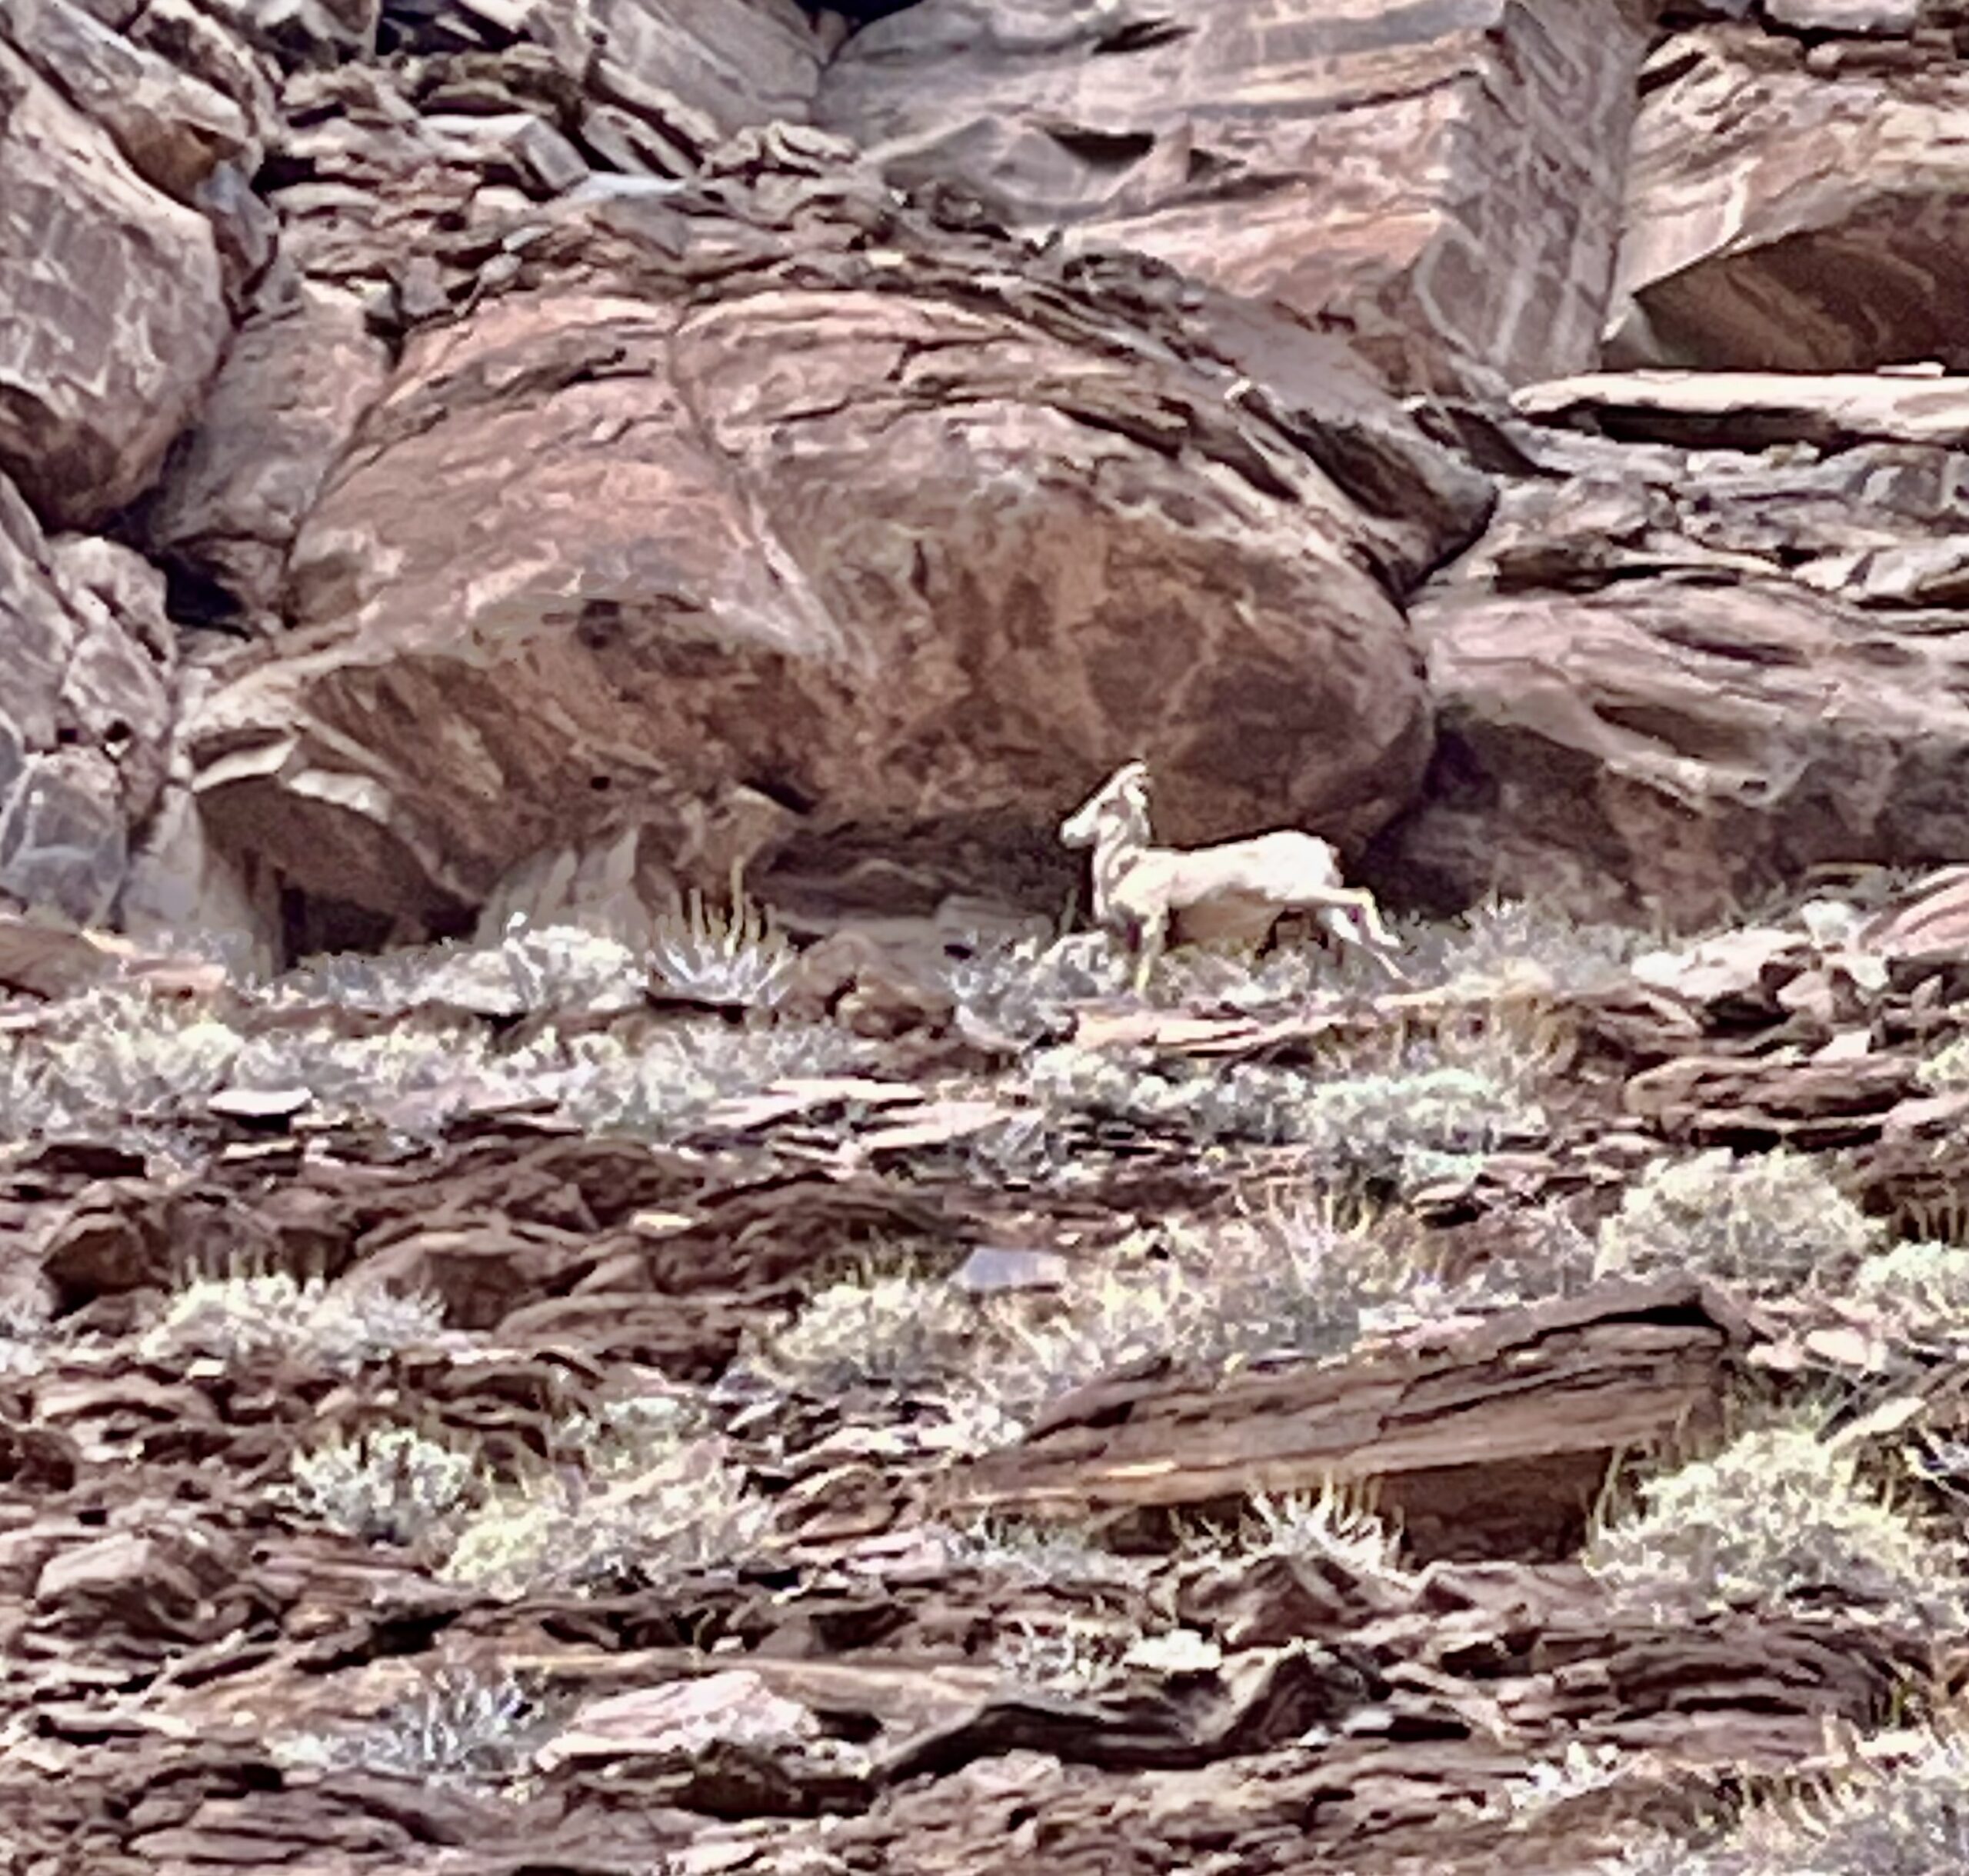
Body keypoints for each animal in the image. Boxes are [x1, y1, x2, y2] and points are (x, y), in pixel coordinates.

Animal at [1063, 759, 1401, 995]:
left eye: (1106, 803)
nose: (1068, 832)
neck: (1124, 871)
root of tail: (1323, 849)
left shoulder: (1151, 925)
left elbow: (1142, 975)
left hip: (1299, 894)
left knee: (1362, 896)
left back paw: (1391, 943)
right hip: (1322, 909)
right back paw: (1399, 980)